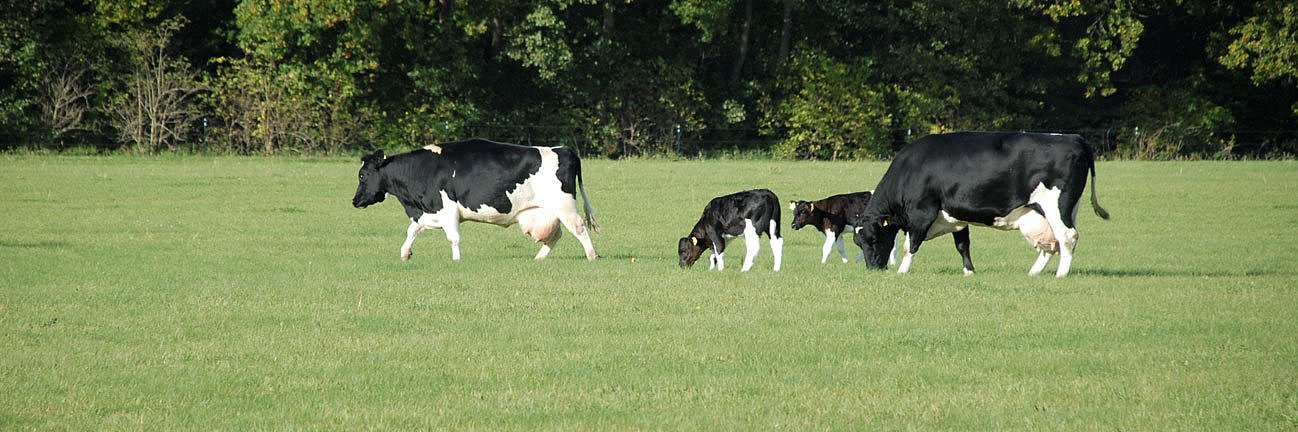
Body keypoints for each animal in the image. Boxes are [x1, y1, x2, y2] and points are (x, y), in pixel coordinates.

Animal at [353, 138, 599, 259]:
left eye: (362, 175)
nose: (354, 201)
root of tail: (564, 148)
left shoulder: (447, 210)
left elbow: (453, 238)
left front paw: (456, 260)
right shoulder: (427, 211)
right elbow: (412, 231)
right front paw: (405, 253)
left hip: (564, 205)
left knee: (578, 228)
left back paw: (591, 255)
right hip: (543, 211)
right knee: (555, 235)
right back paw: (539, 258)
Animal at [851, 129, 1116, 276]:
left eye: (873, 239)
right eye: (857, 243)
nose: (872, 268)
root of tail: (1075, 138)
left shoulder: (921, 212)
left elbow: (910, 245)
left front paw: (902, 271)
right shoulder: (955, 215)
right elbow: (962, 245)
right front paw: (969, 271)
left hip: (1057, 204)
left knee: (1067, 236)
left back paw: (1060, 275)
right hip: (1052, 210)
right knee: (1052, 243)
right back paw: (1033, 273)